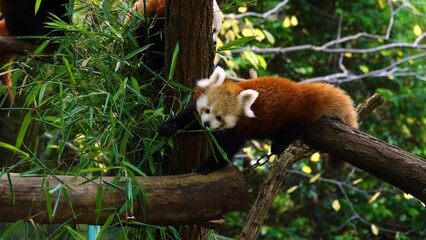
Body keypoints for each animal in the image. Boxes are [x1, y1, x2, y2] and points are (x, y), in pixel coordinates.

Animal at [158, 66, 358, 173]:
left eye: (220, 117)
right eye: (207, 110)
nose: (207, 125)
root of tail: (301, 91)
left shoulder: (238, 130)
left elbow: (225, 151)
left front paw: (208, 167)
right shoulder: (195, 110)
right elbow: (188, 121)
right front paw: (168, 127)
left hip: (293, 117)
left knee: (291, 131)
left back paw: (278, 146)